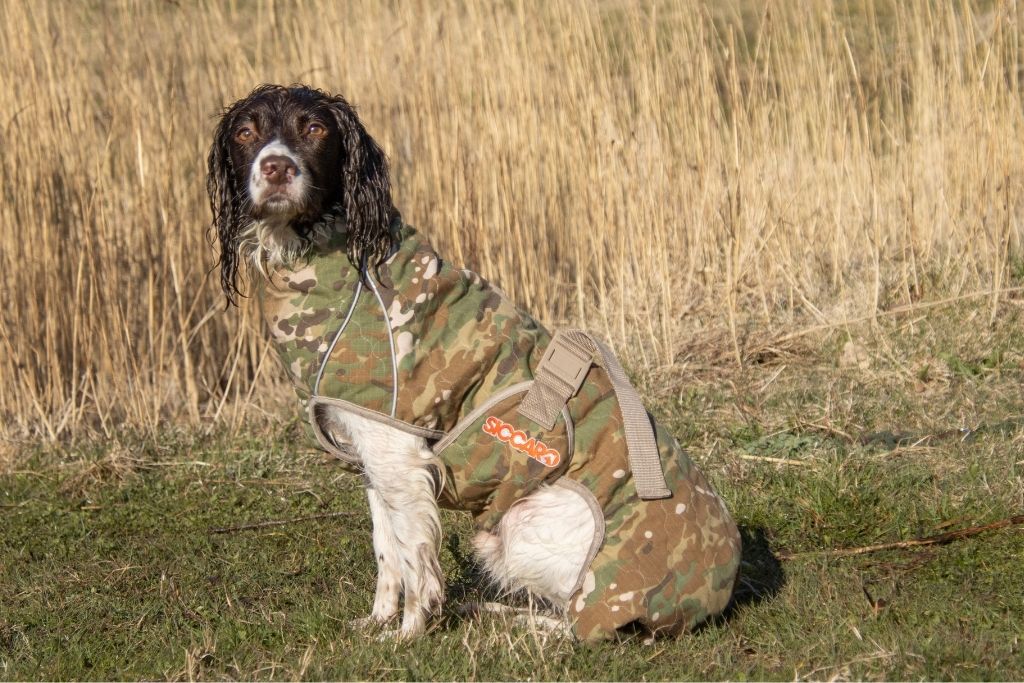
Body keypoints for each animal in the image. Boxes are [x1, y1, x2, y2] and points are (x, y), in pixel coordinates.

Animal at [203, 83, 741, 643]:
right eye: (246, 132)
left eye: (314, 129)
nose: (276, 167)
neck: (338, 257)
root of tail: (711, 596)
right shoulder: (376, 459)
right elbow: (386, 550)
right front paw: (377, 622)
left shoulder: (400, 457)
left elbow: (415, 560)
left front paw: (408, 634)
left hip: (523, 526)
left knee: (581, 624)